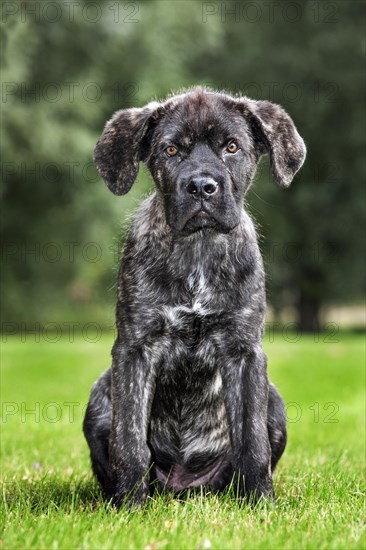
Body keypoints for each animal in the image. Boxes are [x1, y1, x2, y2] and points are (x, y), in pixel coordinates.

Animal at [83, 86, 306, 508]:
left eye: (232, 147)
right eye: (171, 150)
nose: (202, 186)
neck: (198, 248)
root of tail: (184, 487)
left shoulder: (244, 352)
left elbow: (252, 442)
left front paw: (261, 503)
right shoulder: (135, 349)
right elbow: (129, 440)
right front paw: (129, 507)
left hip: (274, 401)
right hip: (100, 397)